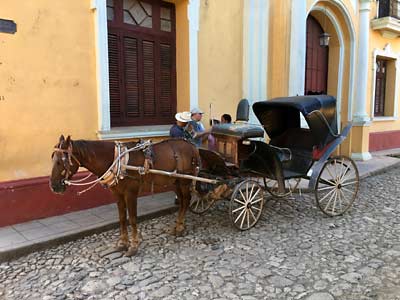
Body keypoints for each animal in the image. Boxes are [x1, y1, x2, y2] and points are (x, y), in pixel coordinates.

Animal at [50, 135, 200, 255]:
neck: (116, 160)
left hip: (184, 182)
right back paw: (177, 225)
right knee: (182, 201)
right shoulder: (118, 194)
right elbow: (122, 218)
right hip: (175, 182)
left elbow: (132, 218)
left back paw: (180, 227)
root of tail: (192, 146)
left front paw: (133, 246)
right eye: (52, 159)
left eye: (60, 161)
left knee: (186, 200)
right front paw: (122, 244)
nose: (53, 186)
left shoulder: (130, 193)